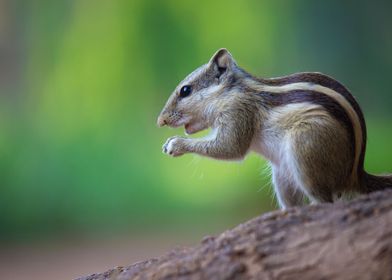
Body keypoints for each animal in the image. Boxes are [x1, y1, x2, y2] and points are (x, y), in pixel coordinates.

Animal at [157, 49, 392, 209]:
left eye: (185, 91)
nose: (160, 121)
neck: (230, 92)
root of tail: (354, 175)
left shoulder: (238, 112)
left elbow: (230, 147)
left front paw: (176, 144)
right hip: (282, 177)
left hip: (306, 149)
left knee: (326, 201)